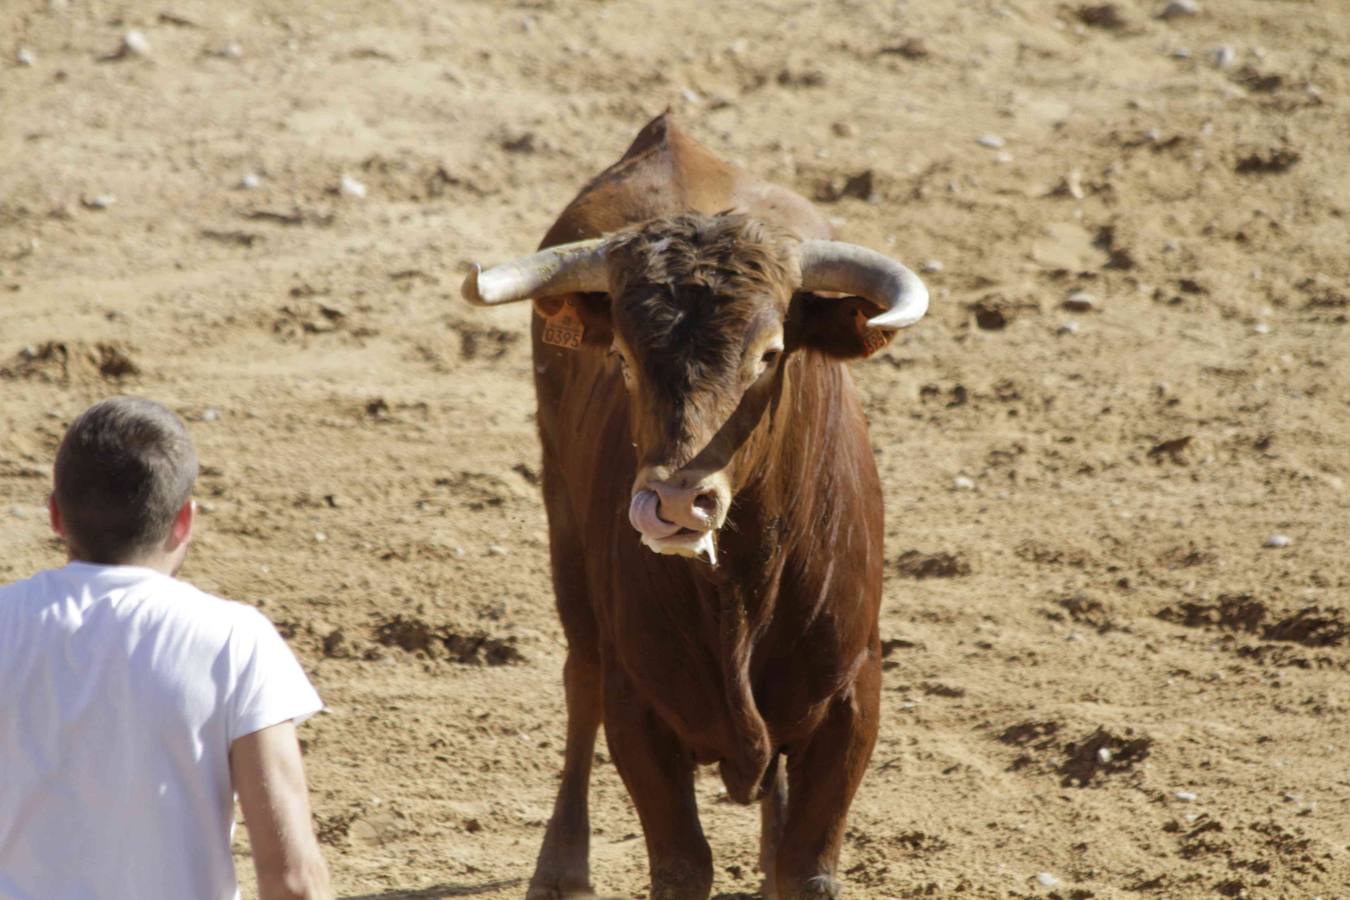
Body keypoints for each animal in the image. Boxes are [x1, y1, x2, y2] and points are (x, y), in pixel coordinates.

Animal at [464, 114, 928, 900]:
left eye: (770, 353)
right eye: (621, 357)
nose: (676, 502)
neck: (741, 585)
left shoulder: (851, 699)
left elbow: (806, 868)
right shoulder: (640, 708)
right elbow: (682, 863)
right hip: (565, 539)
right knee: (580, 678)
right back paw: (560, 865)